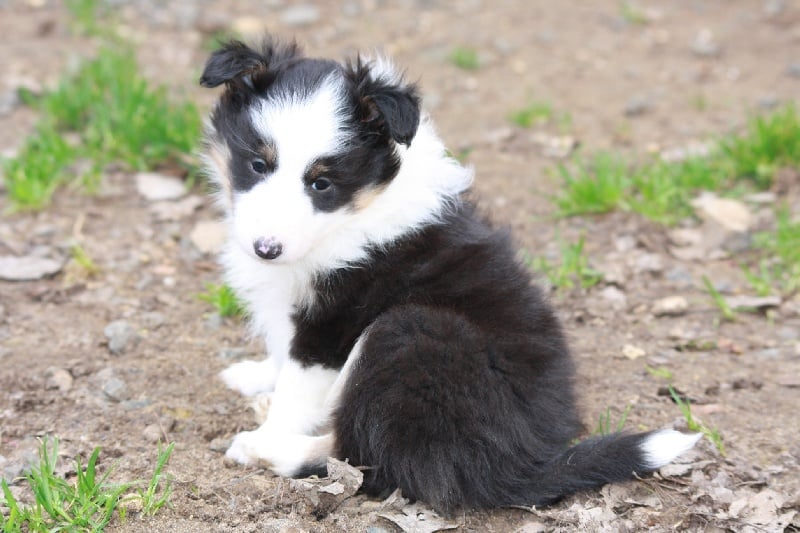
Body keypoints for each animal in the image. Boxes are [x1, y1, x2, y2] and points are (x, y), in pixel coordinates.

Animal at [200, 36, 700, 512]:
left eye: (321, 183)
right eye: (258, 164)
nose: (266, 249)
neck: (358, 210)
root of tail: (514, 464)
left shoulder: (331, 324)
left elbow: (297, 391)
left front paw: (270, 428)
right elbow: (280, 352)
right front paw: (255, 376)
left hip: (409, 335)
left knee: (367, 459)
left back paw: (265, 451)